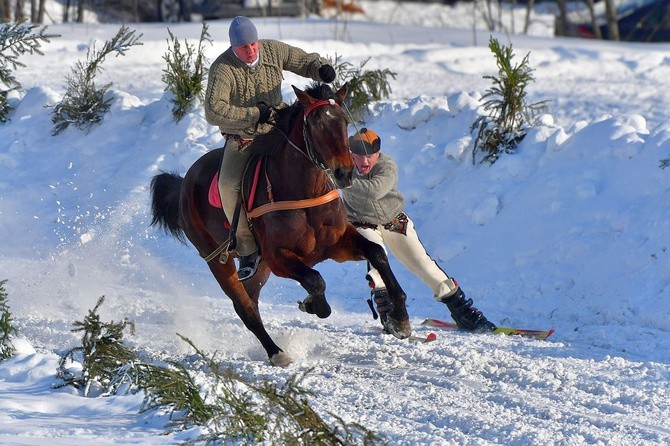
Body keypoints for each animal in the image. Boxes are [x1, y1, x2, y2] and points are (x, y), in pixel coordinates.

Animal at [152, 83, 412, 366]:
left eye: (343, 121)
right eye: (317, 124)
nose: (344, 173)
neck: (302, 192)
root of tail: (184, 184)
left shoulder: (338, 244)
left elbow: (376, 253)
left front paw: (400, 317)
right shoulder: (278, 257)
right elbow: (315, 280)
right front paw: (314, 305)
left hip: (260, 268)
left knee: (250, 297)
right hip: (216, 259)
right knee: (244, 307)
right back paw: (276, 352)